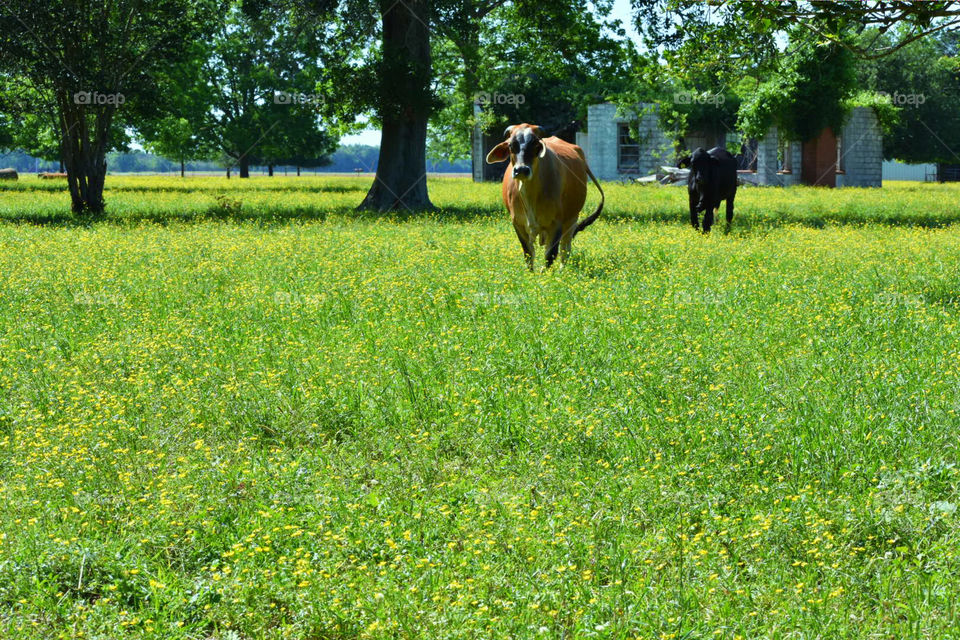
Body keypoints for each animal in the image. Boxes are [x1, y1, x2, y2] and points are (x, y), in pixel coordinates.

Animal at [486, 123, 604, 270]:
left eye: (536, 145)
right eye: (511, 145)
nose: (521, 170)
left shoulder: (556, 224)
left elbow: (550, 255)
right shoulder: (518, 224)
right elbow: (528, 254)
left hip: (571, 220)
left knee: (565, 250)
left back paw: (562, 270)